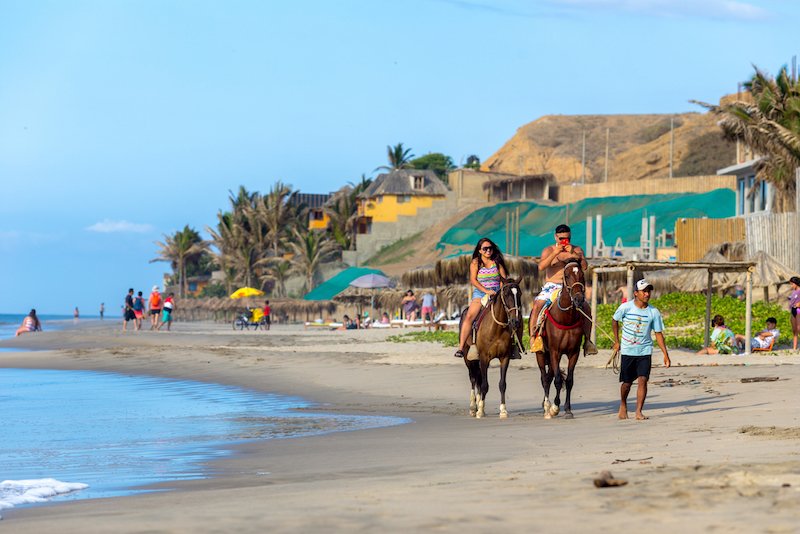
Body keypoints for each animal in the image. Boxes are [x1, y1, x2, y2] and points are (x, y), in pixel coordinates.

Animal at [460, 278, 528, 420]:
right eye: (506, 294)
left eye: (519, 294)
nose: (516, 321)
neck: (497, 328)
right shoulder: (484, 358)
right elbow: (484, 385)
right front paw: (480, 410)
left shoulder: (505, 358)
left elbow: (502, 384)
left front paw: (503, 410)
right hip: (468, 357)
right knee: (473, 378)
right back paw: (473, 407)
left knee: (477, 378)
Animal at [536, 264, 584, 422]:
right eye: (567, 276)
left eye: (582, 274)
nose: (579, 299)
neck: (566, 318)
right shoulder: (555, 351)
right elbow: (557, 380)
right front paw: (555, 407)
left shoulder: (574, 352)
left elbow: (569, 381)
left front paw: (568, 409)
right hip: (542, 354)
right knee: (545, 378)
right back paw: (546, 406)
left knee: (549, 376)